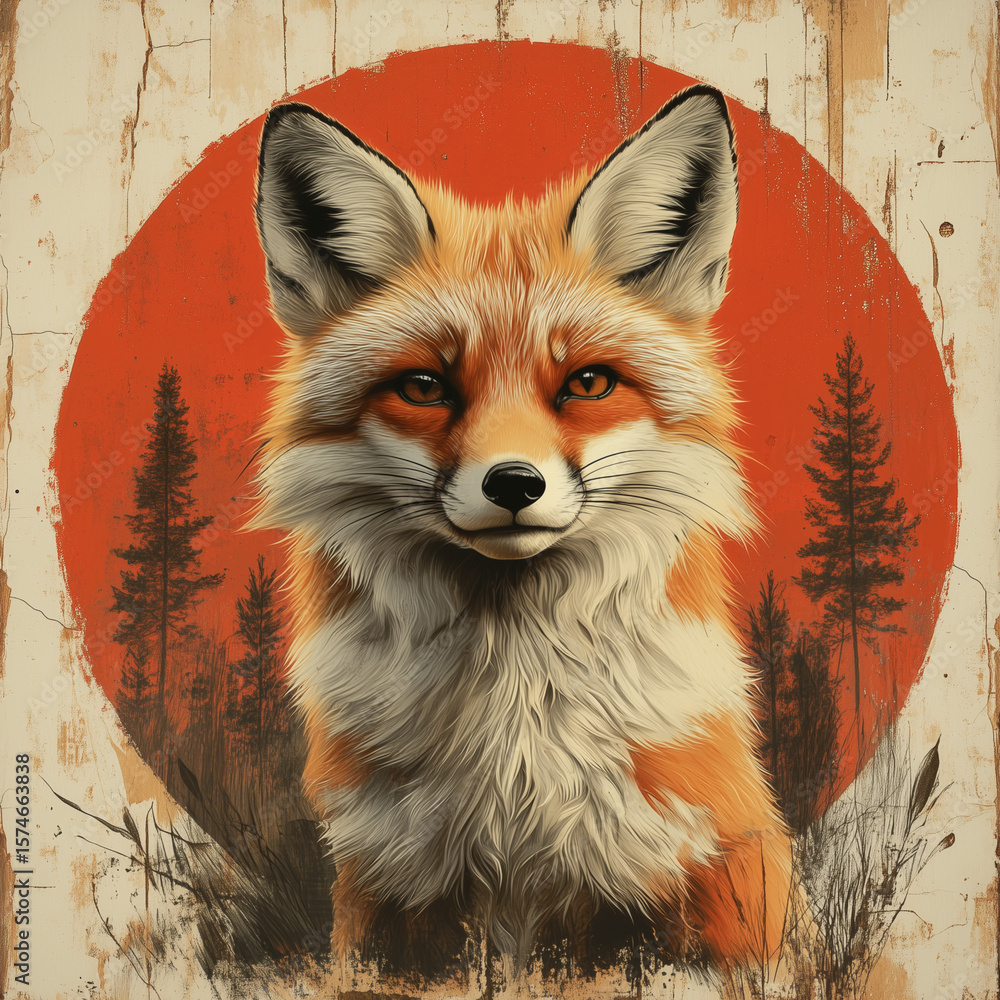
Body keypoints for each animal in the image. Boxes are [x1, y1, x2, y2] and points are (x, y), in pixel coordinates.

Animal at [251, 85, 793, 979]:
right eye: (425, 386)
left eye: (589, 383)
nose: (514, 484)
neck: (512, 740)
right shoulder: (383, 885)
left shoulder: (716, 868)